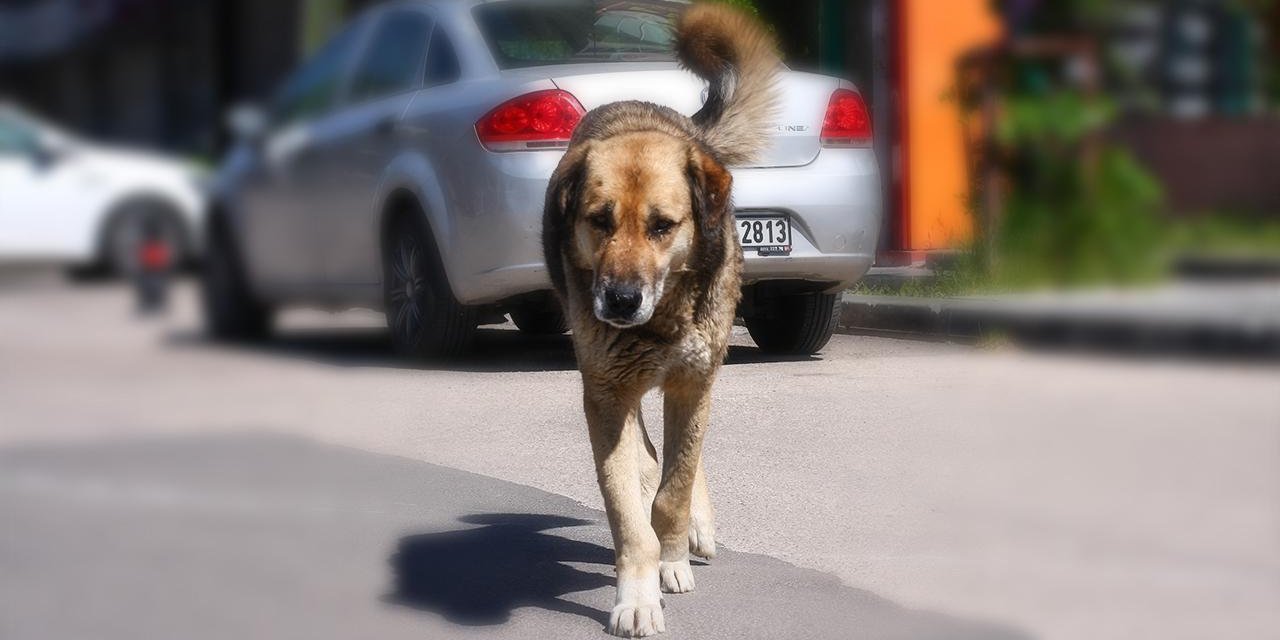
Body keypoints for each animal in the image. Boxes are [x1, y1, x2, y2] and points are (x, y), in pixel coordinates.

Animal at [540, 3, 778, 634]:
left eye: (662, 226)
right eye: (599, 220)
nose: (620, 300)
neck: (661, 321)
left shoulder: (692, 384)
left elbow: (674, 489)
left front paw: (672, 558)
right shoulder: (605, 394)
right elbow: (628, 512)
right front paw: (637, 595)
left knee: (679, 465)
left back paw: (694, 526)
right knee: (648, 457)